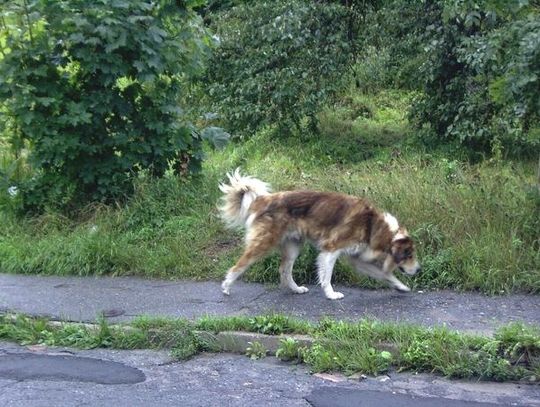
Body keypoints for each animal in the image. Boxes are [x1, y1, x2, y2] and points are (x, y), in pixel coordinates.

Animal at [217, 169, 420, 300]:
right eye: (409, 255)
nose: (418, 270)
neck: (372, 225)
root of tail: (264, 199)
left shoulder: (358, 259)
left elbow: (386, 275)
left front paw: (401, 287)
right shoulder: (331, 250)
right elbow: (326, 277)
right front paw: (331, 295)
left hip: (293, 246)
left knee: (284, 270)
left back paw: (296, 289)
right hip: (263, 243)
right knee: (239, 265)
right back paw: (226, 286)